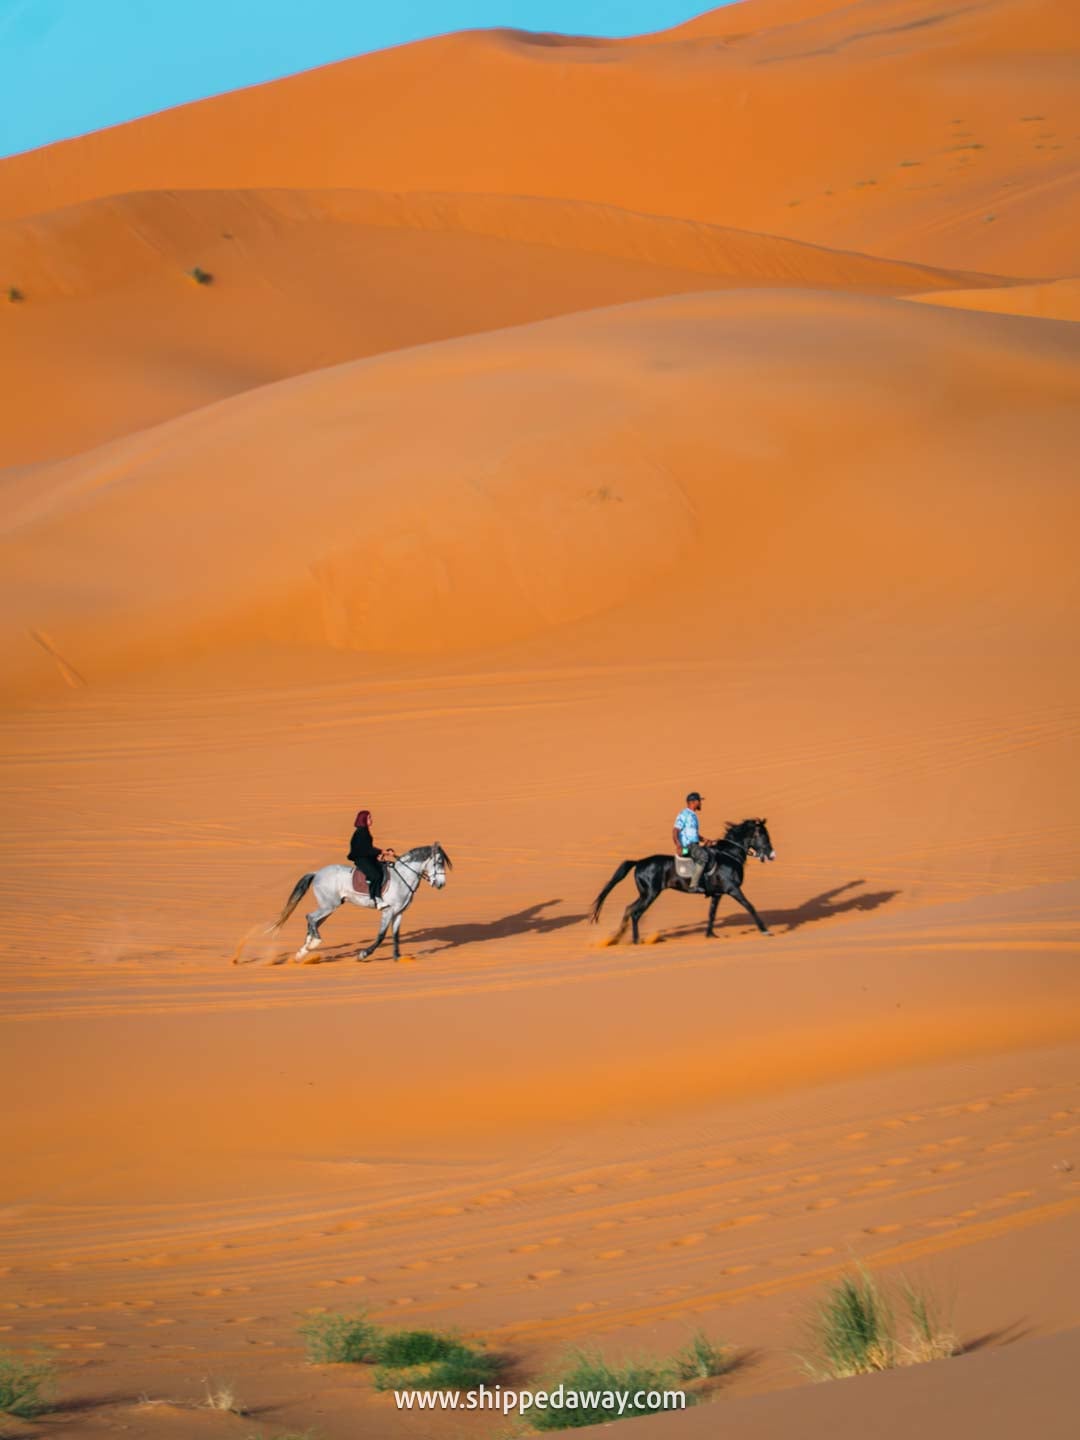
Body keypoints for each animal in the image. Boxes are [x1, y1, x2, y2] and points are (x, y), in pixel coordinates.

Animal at [273, 843, 452, 963]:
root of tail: (317, 873)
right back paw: (312, 945)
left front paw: (397, 957)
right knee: (310, 917)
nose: (441, 884)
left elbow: (395, 935)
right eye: (438, 862)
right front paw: (363, 954)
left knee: (313, 922)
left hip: (328, 908)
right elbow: (381, 936)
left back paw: (303, 952)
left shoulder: (399, 913)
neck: (402, 877)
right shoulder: (387, 911)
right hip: (328, 906)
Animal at [590, 818, 775, 945]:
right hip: (650, 894)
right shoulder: (733, 889)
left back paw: (617, 937)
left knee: (629, 909)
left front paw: (710, 935)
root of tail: (639, 862)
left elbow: (712, 914)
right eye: (763, 835)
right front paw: (765, 930)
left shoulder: (717, 894)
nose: (772, 854)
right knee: (635, 913)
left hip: (645, 894)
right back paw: (636, 940)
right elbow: (750, 906)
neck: (729, 855)